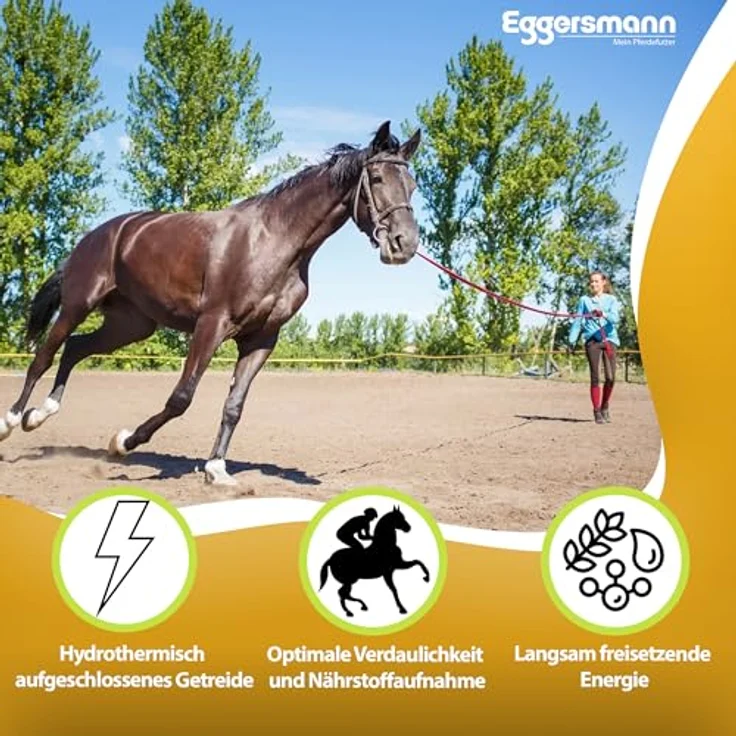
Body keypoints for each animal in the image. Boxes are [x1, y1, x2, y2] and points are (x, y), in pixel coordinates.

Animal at [0, 121, 421, 486]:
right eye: (378, 179)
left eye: (413, 185)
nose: (404, 244)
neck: (274, 240)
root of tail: (96, 236)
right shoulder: (212, 324)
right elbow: (181, 398)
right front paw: (124, 442)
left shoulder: (261, 339)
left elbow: (234, 405)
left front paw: (217, 469)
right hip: (78, 305)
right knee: (44, 356)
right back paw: (13, 420)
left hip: (131, 325)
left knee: (75, 349)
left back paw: (39, 416)